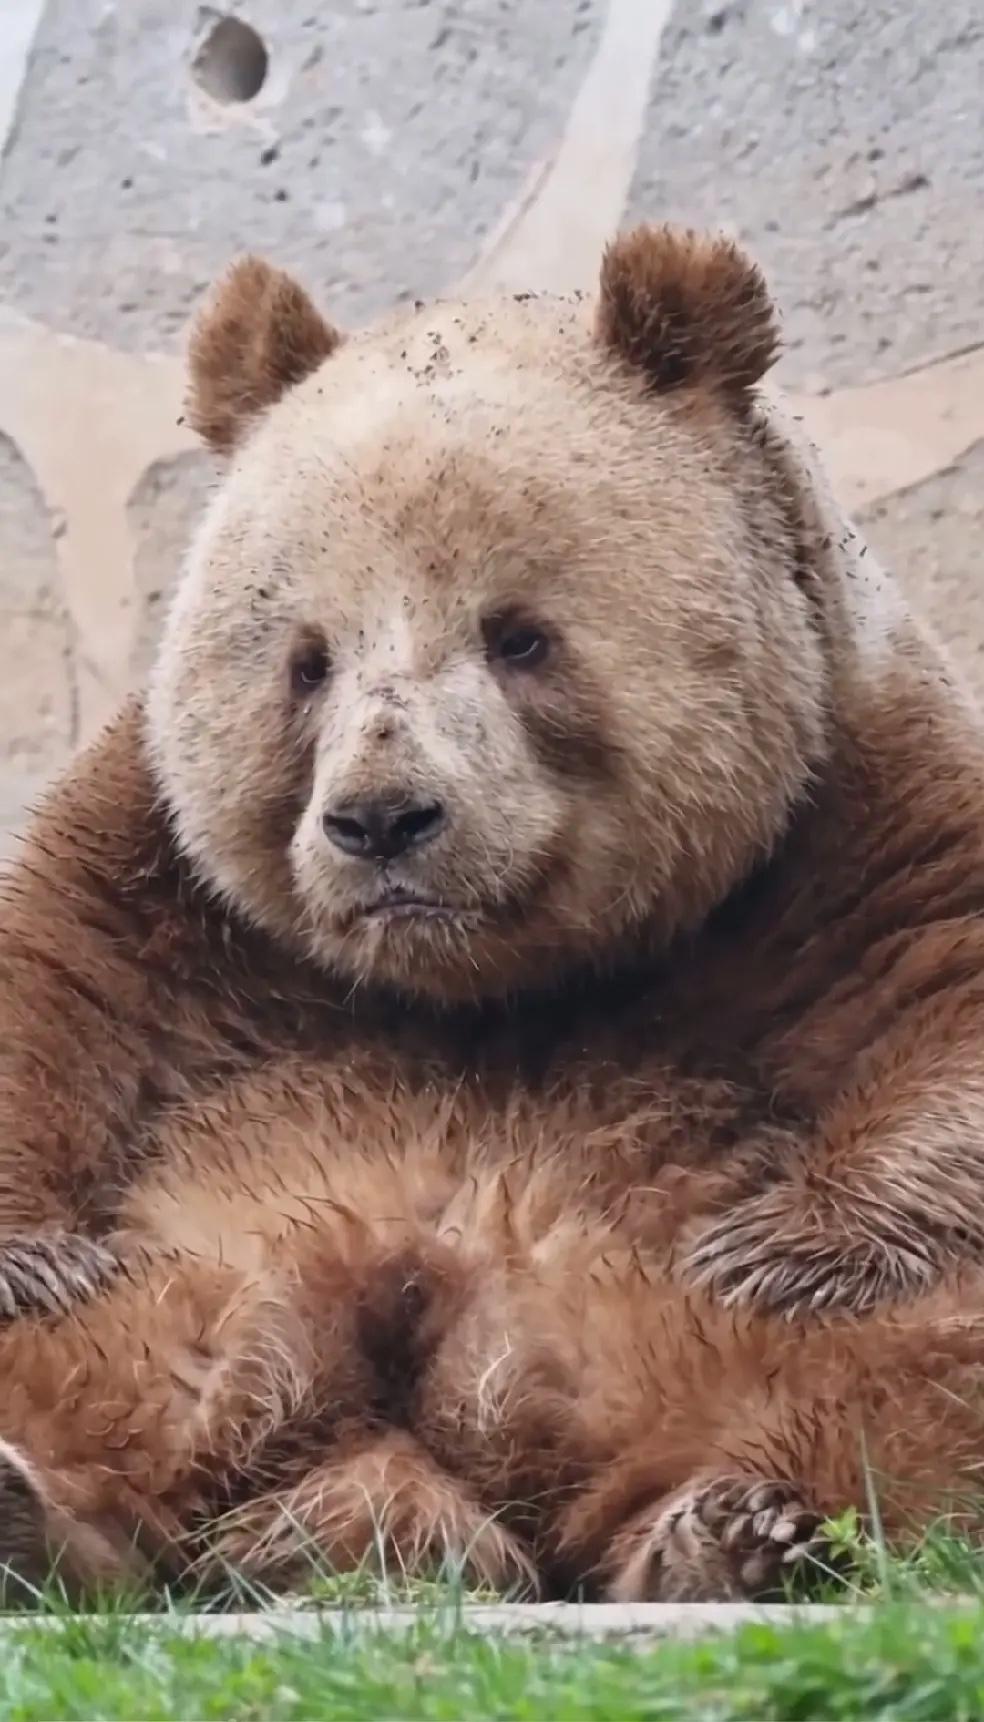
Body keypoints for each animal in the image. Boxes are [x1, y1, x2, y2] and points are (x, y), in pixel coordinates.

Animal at [3, 227, 984, 1599]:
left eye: (518, 637)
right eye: (307, 660)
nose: (381, 821)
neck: (482, 977)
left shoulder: (840, 796)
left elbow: (946, 971)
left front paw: (780, 1247)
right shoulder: (160, 855)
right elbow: (51, 981)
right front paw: (37, 1252)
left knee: (915, 1371)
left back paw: (731, 1529)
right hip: (187, 1288)